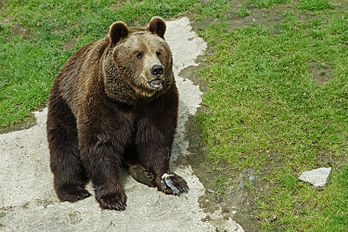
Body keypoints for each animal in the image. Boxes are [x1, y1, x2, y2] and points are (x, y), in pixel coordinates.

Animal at [47, 17, 188, 211]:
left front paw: (171, 181)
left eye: (159, 52)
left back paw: (141, 172)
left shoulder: (158, 102)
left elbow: (156, 138)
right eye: (138, 54)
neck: (133, 98)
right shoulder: (103, 101)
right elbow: (100, 142)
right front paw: (113, 197)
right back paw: (73, 190)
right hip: (64, 104)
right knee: (64, 145)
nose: (157, 70)